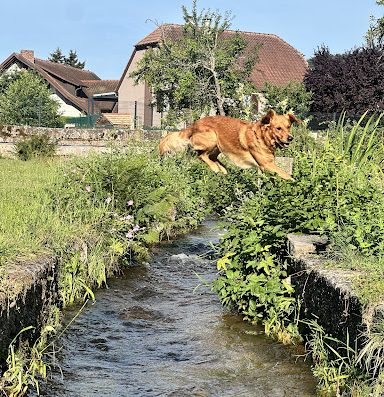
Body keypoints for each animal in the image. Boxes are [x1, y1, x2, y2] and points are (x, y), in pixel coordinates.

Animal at [159, 110, 300, 181]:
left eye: (288, 127)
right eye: (278, 128)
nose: (290, 138)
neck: (261, 137)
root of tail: (193, 125)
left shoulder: (264, 166)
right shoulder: (266, 164)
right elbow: (287, 175)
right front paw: (296, 184)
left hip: (218, 146)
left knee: (211, 158)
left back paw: (222, 169)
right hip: (212, 138)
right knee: (201, 156)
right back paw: (216, 168)